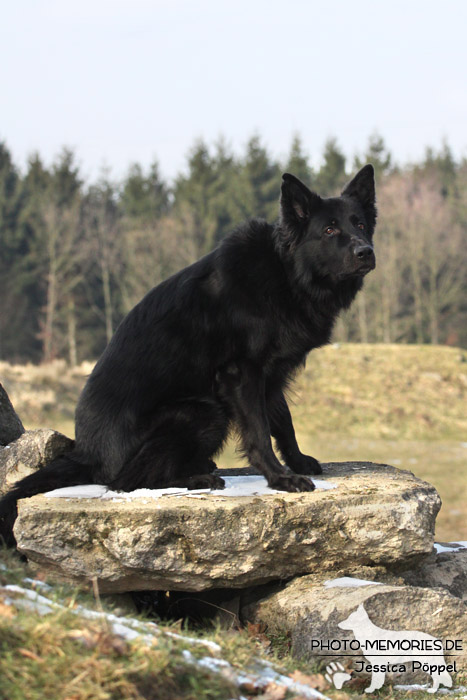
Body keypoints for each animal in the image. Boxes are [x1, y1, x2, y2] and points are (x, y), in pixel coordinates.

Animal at [0, 165, 376, 548]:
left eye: (360, 224)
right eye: (329, 229)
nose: (366, 252)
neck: (285, 272)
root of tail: (87, 453)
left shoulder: (271, 376)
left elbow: (283, 423)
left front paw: (297, 461)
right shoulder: (243, 374)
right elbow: (258, 432)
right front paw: (280, 479)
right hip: (204, 411)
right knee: (125, 483)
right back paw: (196, 479)